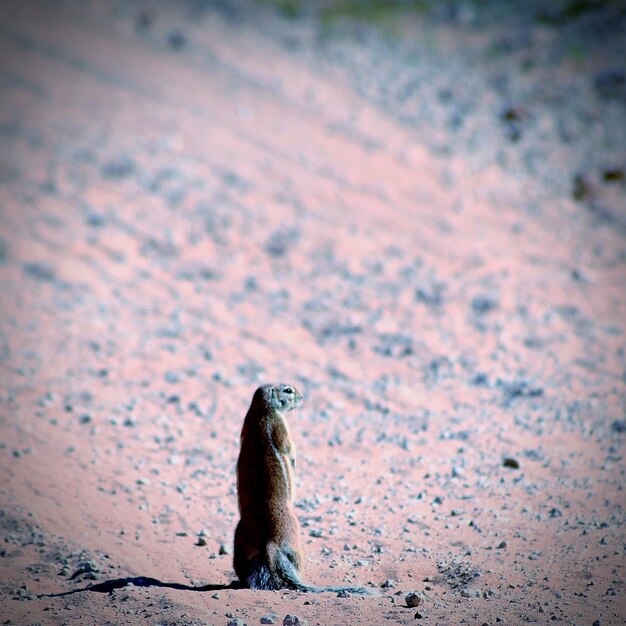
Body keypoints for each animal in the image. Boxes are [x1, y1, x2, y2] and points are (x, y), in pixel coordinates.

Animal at [233, 382, 370, 592]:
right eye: (288, 390)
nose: (302, 397)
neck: (259, 409)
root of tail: (269, 544)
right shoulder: (280, 425)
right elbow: (287, 446)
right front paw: (294, 460)